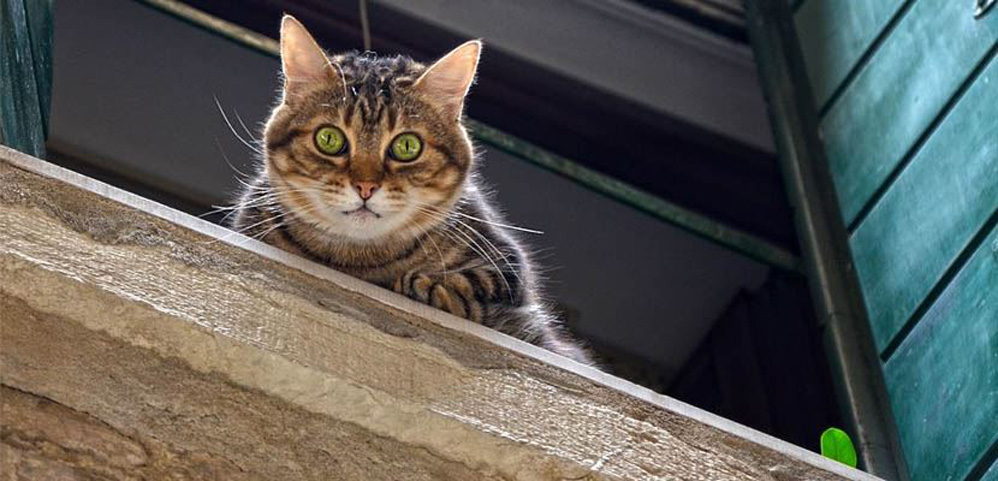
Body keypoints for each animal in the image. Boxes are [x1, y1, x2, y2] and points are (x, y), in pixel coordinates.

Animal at [229, 16, 592, 366]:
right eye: (329, 139)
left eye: (407, 146)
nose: (365, 186)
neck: (358, 263)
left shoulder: (507, 264)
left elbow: (474, 284)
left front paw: (428, 287)